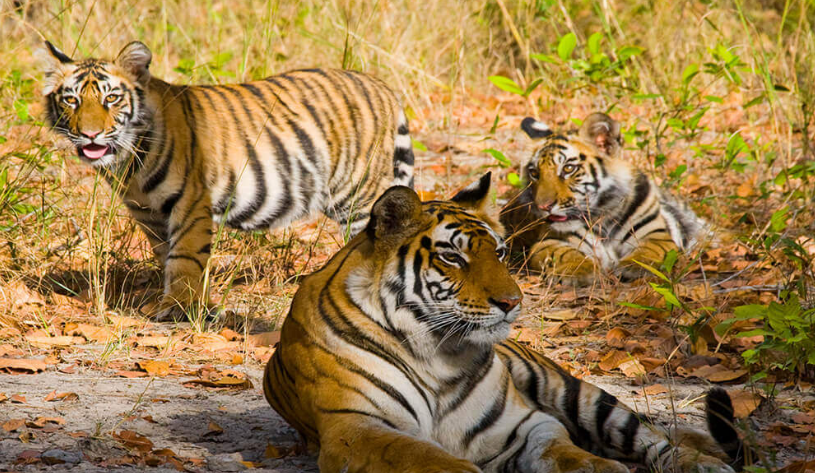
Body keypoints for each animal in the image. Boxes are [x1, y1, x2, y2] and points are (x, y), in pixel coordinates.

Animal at [39, 40, 414, 320]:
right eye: (71, 99)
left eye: (111, 98)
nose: (90, 135)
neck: (129, 163)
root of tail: (382, 86)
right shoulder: (148, 214)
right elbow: (167, 256)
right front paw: (193, 305)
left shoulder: (190, 202)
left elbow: (185, 257)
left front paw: (177, 307)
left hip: (358, 196)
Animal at [262, 172, 741, 473]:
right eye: (452, 257)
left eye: (501, 252)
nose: (513, 302)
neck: (435, 353)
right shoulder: (357, 426)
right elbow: (425, 458)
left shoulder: (522, 424)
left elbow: (565, 452)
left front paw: (600, 467)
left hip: (578, 394)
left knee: (654, 438)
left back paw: (703, 465)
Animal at [500, 112, 708, 281]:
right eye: (535, 173)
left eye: (568, 168)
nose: (543, 206)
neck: (604, 216)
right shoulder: (548, 242)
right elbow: (564, 254)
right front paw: (579, 271)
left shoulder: (656, 234)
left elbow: (650, 250)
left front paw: (634, 266)